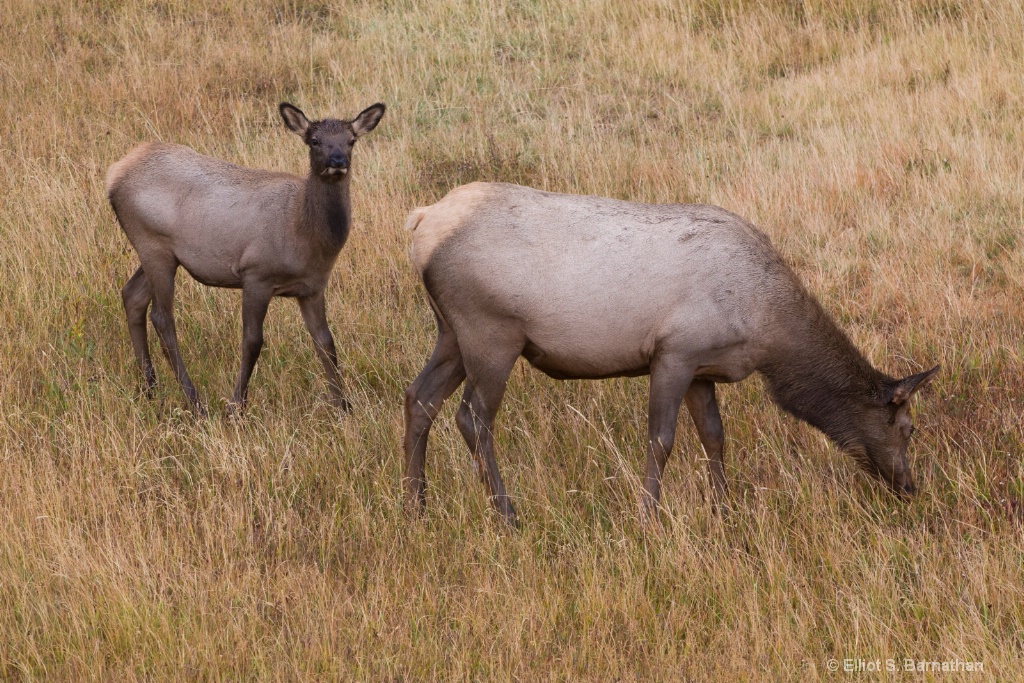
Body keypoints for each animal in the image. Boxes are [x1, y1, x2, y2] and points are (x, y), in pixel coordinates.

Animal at [108, 102, 385, 417]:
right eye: (314, 141)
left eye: (351, 140)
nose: (337, 160)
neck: (306, 235)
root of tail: (113, 176)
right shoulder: (256, 275)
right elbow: (252, 341)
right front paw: (236, 406)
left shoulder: (312, 288)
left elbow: (325, 341)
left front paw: (344, 405)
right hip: (154, 246)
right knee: (162, 317)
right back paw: (195, 402)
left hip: (160, 253)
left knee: (132, 295)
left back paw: (150, 388)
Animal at [399, 181, 937, 524]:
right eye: (907, 429)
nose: (910, 487)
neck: (766, 330)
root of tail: (421, 222)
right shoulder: (674, 353)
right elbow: (661, 439)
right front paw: (649, 518)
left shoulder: (703, 368)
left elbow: (715, 437)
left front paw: (725, 510)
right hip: (490, 332)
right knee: (472, 418)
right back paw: (507, 514)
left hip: (451, 333)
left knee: (419, 398)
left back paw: (415, 507)